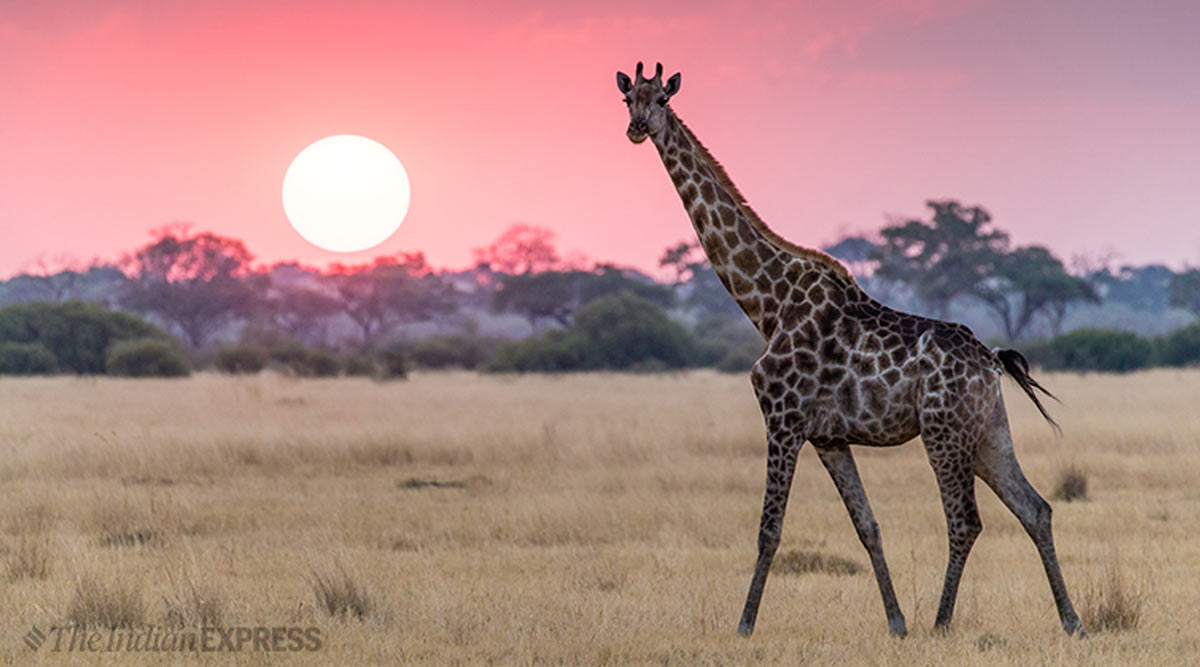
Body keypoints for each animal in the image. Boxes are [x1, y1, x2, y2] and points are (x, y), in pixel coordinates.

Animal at [614, 61, 1084, 633]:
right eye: (627, 99)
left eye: (661, 98)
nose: (637, 128)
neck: (768, 305)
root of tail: (991, 362)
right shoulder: (829, 438)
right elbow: (868, 526)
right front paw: (896, 623)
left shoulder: (783, 419)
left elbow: (769, 530)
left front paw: (744, 625)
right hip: (988, 430)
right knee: (1035, 508)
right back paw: (1072, 621)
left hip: (943, 430)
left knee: (966, 522)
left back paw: (941, 623)